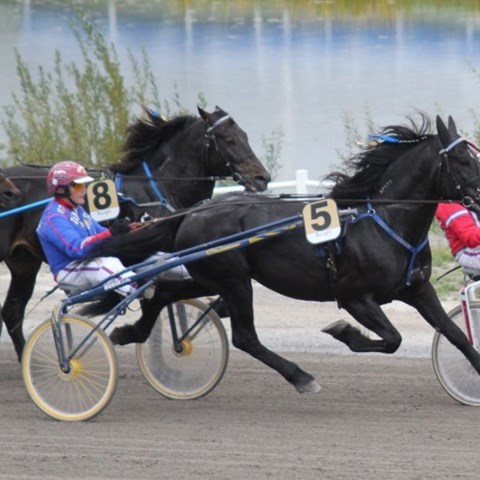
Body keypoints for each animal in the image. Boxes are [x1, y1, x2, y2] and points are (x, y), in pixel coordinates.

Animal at [0, 106, 270, 360]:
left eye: (244, 135)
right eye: (228, 139)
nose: (262, 177)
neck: (158, 187)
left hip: (24, 263)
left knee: (12, 311)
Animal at [94, 115, 480, 394]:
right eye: (463, 158)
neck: (383, 221)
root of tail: (193, 212)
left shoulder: (417, 289)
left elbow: (455, 333)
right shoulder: (355, 297)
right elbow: (392, 339)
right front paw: (344, 332)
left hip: (210, 276)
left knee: (164, 292)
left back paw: (132, 332)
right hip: (233, 280)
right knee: (244, 337)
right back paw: (300, 376)